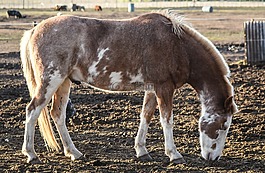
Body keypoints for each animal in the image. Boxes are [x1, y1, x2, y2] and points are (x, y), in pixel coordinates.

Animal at [19, 10, 236, 164]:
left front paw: (142, 151)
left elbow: (145, 116)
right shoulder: (164, 89)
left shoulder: (153, 89)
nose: (214, 158)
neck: (177, 46)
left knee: (57, 114)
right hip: (51, 80)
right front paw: (174, 154)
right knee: (32, 110)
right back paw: (31, 154)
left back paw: (73, 152)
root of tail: (35, 29)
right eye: (224, 125)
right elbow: (167, 121)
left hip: (63, 83)